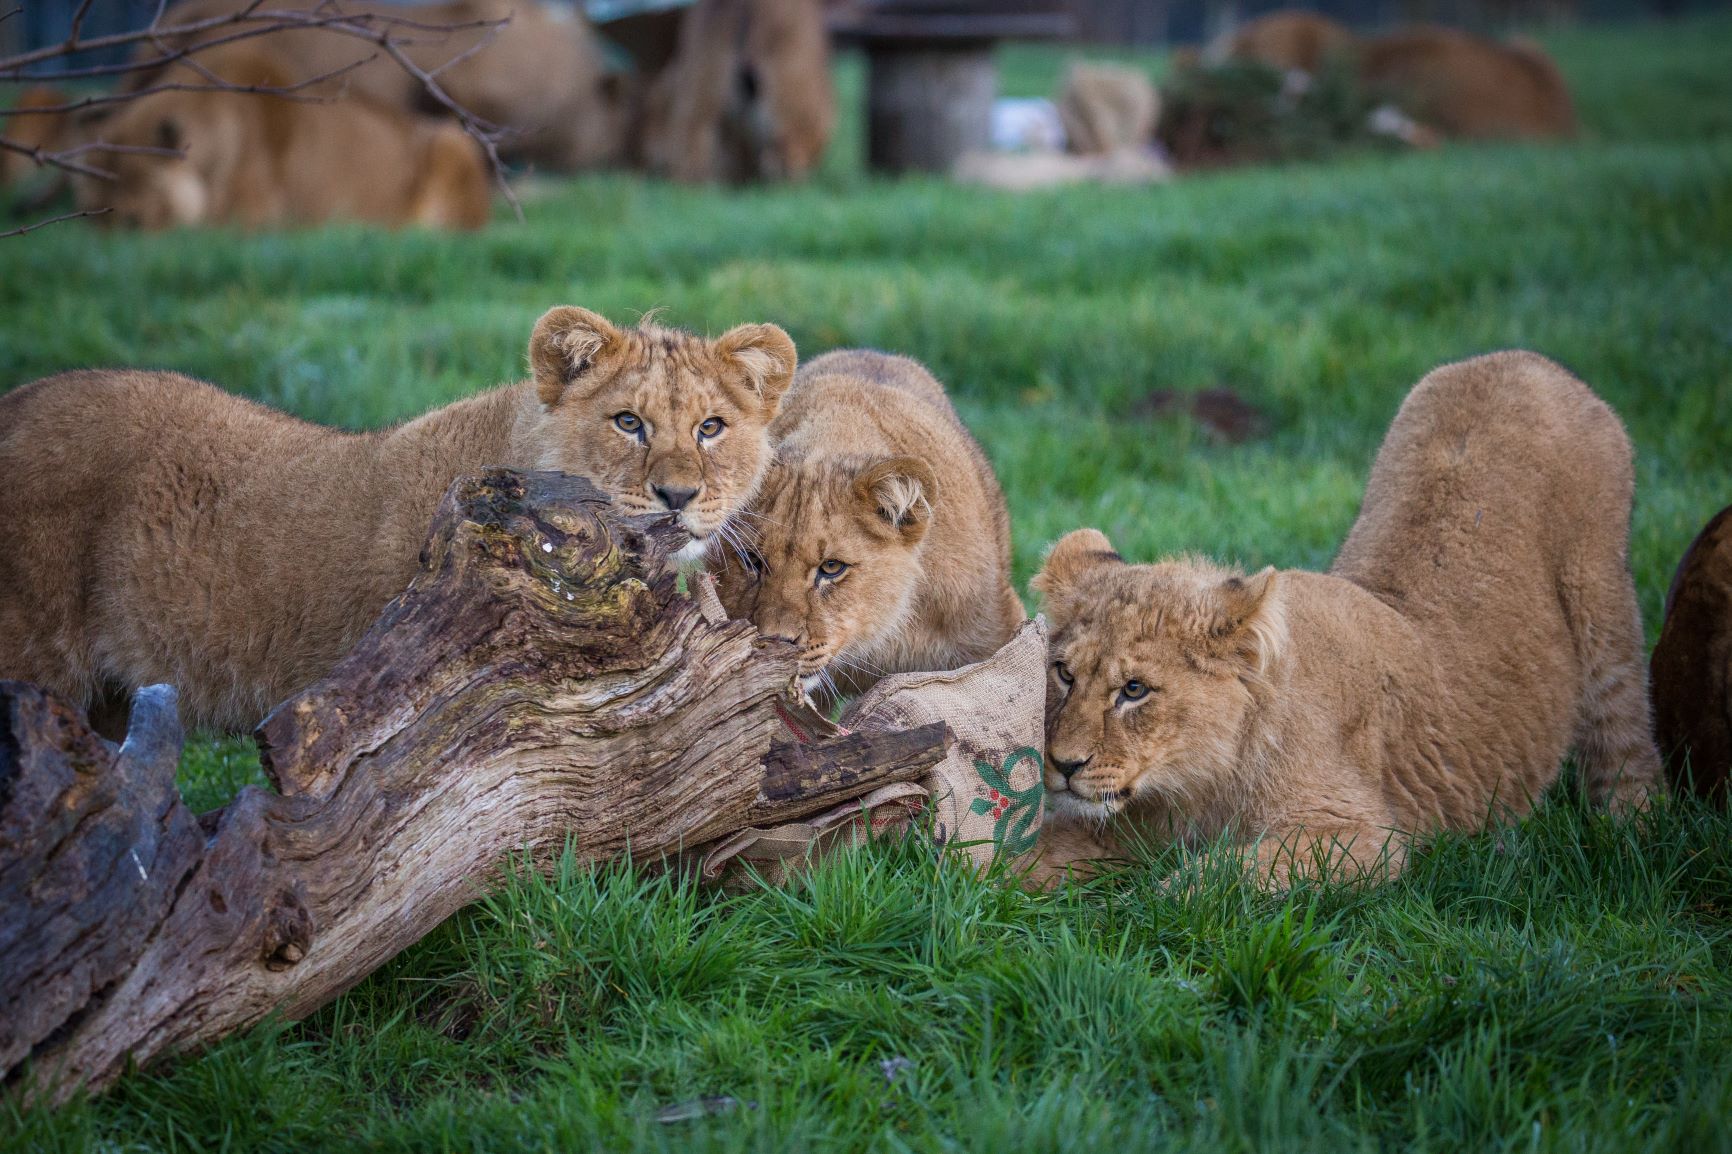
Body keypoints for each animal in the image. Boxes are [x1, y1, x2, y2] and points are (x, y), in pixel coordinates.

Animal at [1025, 346, 1662, 883]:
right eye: (1064, 673)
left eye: (1135, 690)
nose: (1062, 765)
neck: (1193, 782)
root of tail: (1520, 357)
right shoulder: (1125, 823)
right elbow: (1033, 854)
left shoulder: (1361, 836)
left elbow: (1212, 881)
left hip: (1602, 604)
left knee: (1625, 728)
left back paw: (1632, 833)